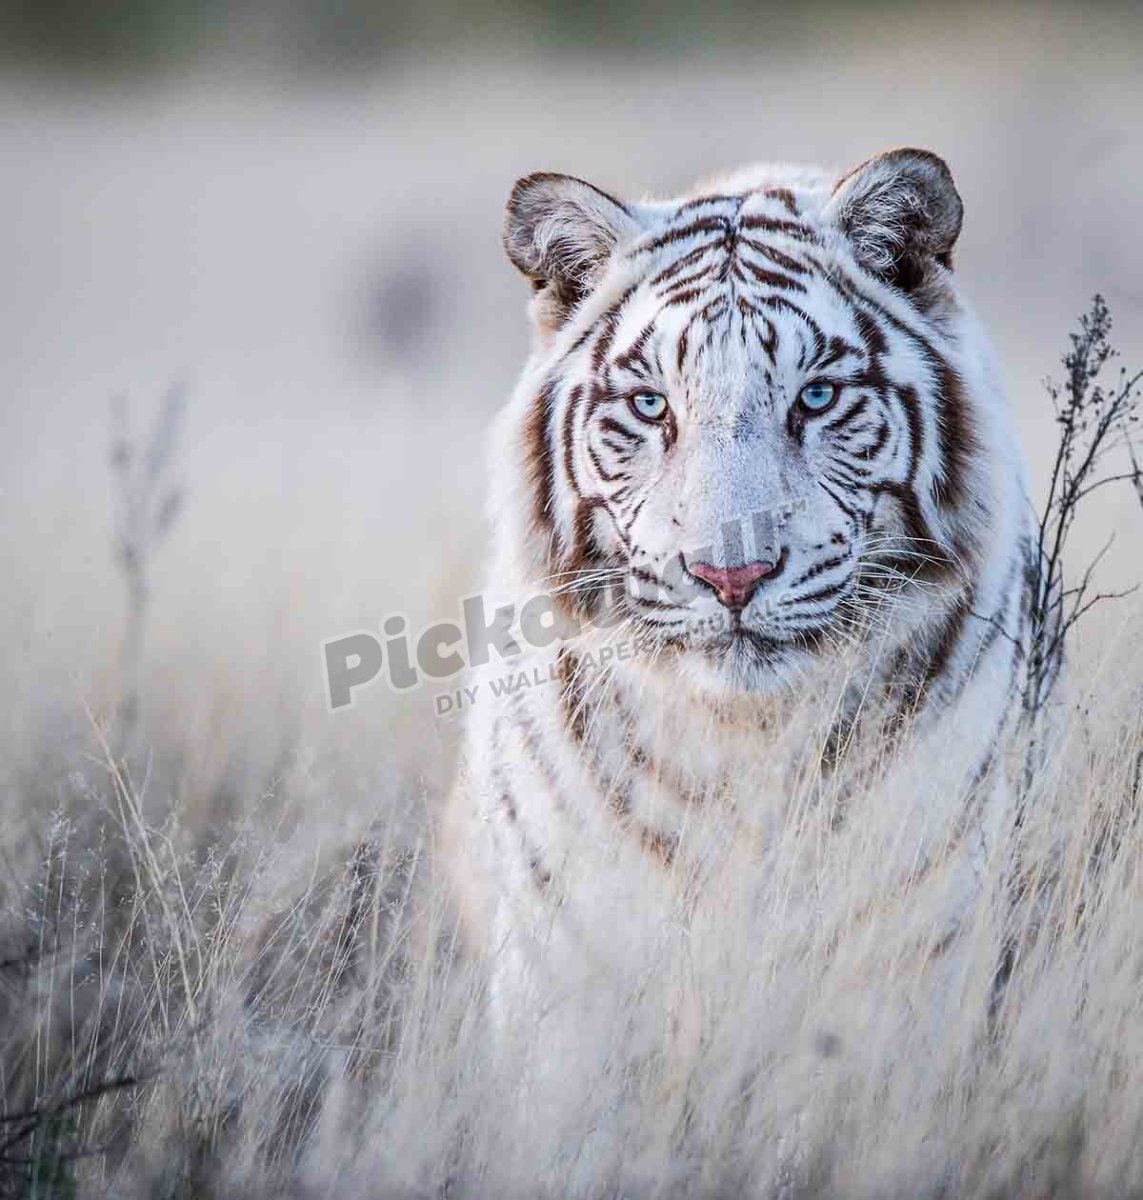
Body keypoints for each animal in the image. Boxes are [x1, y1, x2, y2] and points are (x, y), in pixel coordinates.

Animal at [446, 148, 1034, 1141]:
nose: (731, 576)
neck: (744, 747)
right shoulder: (568, 983)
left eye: (816, 397)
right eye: (651, 406)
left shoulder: (905, 968)